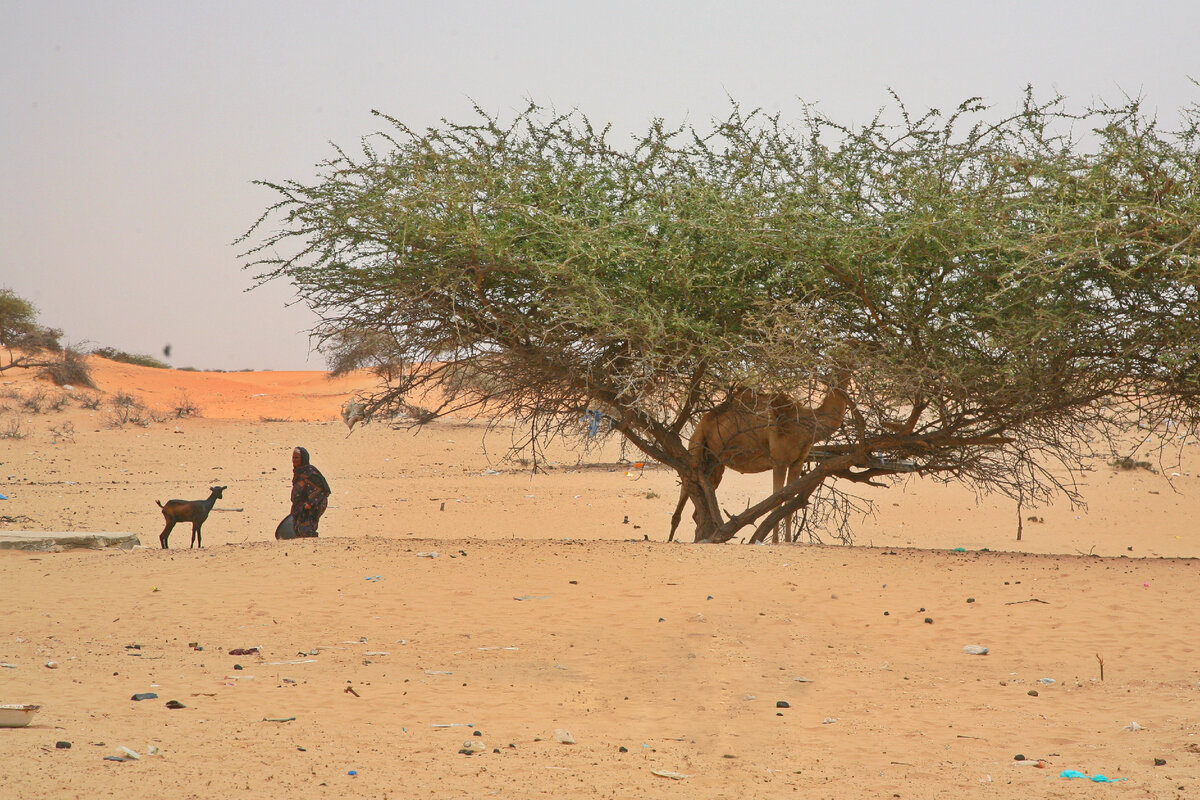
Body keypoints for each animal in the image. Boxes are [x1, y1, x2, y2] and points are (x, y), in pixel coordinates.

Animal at [667, 374, 854, 546]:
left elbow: (789, 504)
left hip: (714, 464)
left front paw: (788, 541)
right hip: (696, 449)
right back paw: (673, 538)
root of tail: (701, 424)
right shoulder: (779, 461)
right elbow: (777, 502)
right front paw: (776, 541)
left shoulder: (797, 462)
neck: (804, 423)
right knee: (684, 493)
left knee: (699, 506)